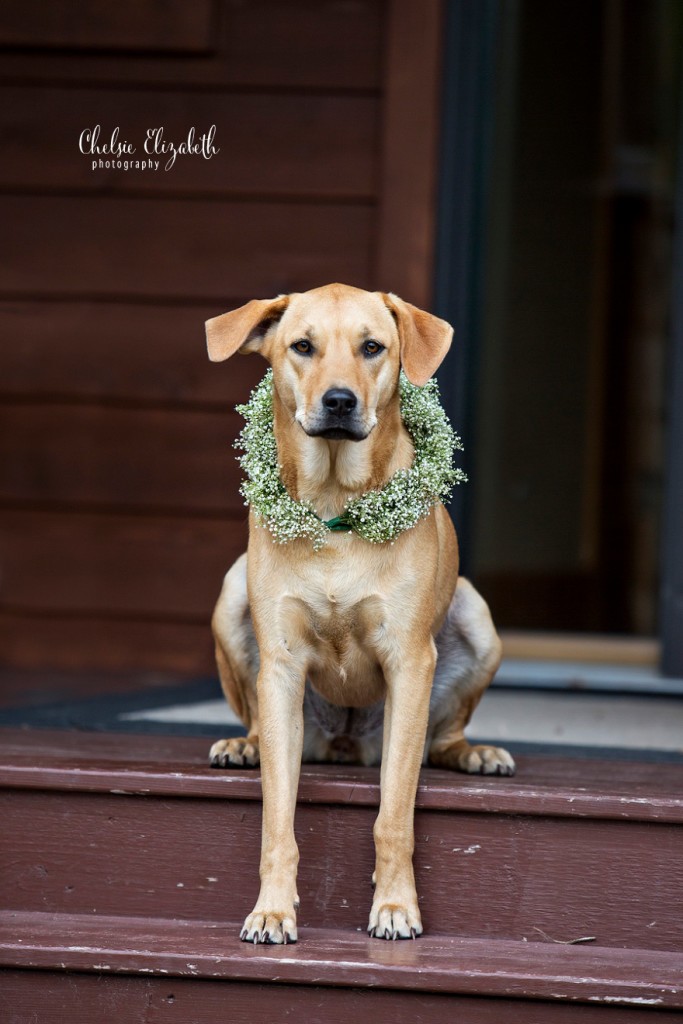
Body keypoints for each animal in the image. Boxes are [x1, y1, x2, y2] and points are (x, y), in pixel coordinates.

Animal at [205, 280, 516, 942]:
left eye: (372, 347)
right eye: (302, 346)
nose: (340, 401)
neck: (335, 506)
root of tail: (345, 745)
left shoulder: (410, 663)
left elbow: (393, 813)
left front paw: (396, 906)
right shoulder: (281, 668)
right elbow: (277, 820)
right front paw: (272, 908)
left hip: (478, 621)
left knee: (442, 737)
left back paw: (475, 754)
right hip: (232, 594)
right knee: (258, 723)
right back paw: (245, 745)